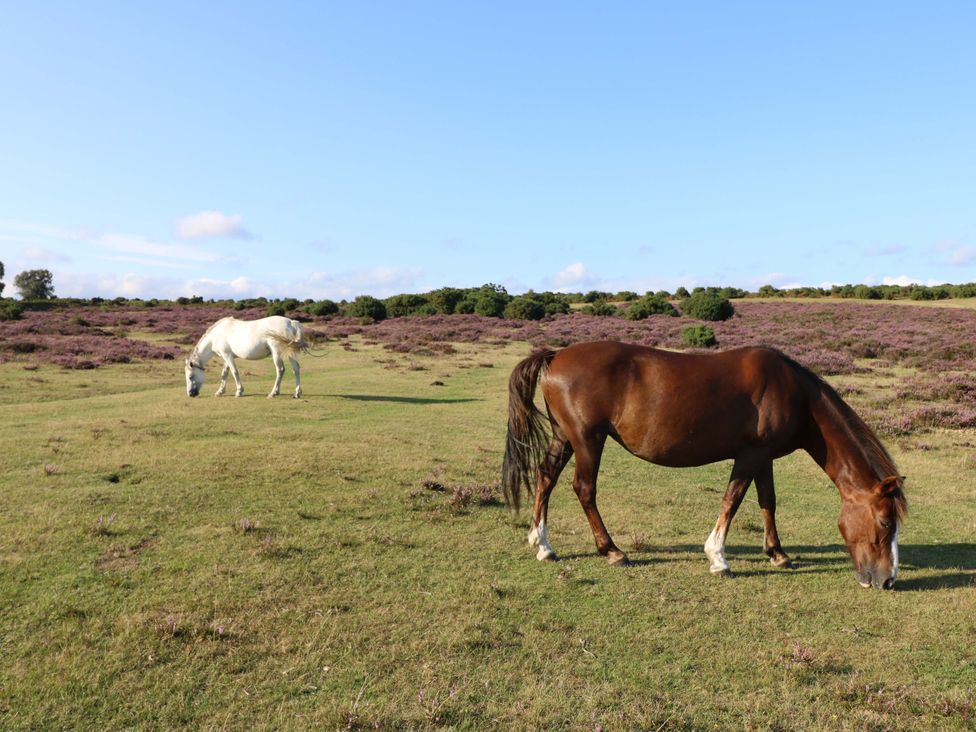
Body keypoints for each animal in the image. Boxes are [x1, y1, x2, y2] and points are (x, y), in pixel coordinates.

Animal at [502, 341, 906, 590]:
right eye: (886, 522)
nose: (887, 580)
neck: (795, 394)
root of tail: (555, 355)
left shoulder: (764, 458)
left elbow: (768, 502)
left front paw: (777, 554)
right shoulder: (750, 455)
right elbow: (732, 500)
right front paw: (718, 558)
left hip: (565, 438)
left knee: (545, 478)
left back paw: (543, 543)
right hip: (588, 440)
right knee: (584, 489)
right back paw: (612, 550)